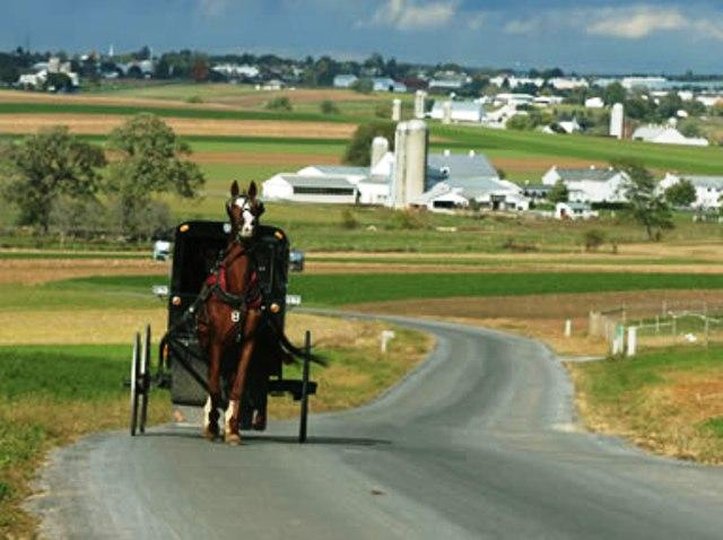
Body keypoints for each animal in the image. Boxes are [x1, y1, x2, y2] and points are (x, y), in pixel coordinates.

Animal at [198, 179, 266, 446]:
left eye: (258, 207)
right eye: (232, 207)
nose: (249, 227)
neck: (237, 290)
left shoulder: (248, 343)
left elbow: (237, 386)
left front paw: (233, 429)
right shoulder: (216, 341)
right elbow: (214, 385)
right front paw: (212, 425)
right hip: (208, 345)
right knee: (212, 379)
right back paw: (210, 420)